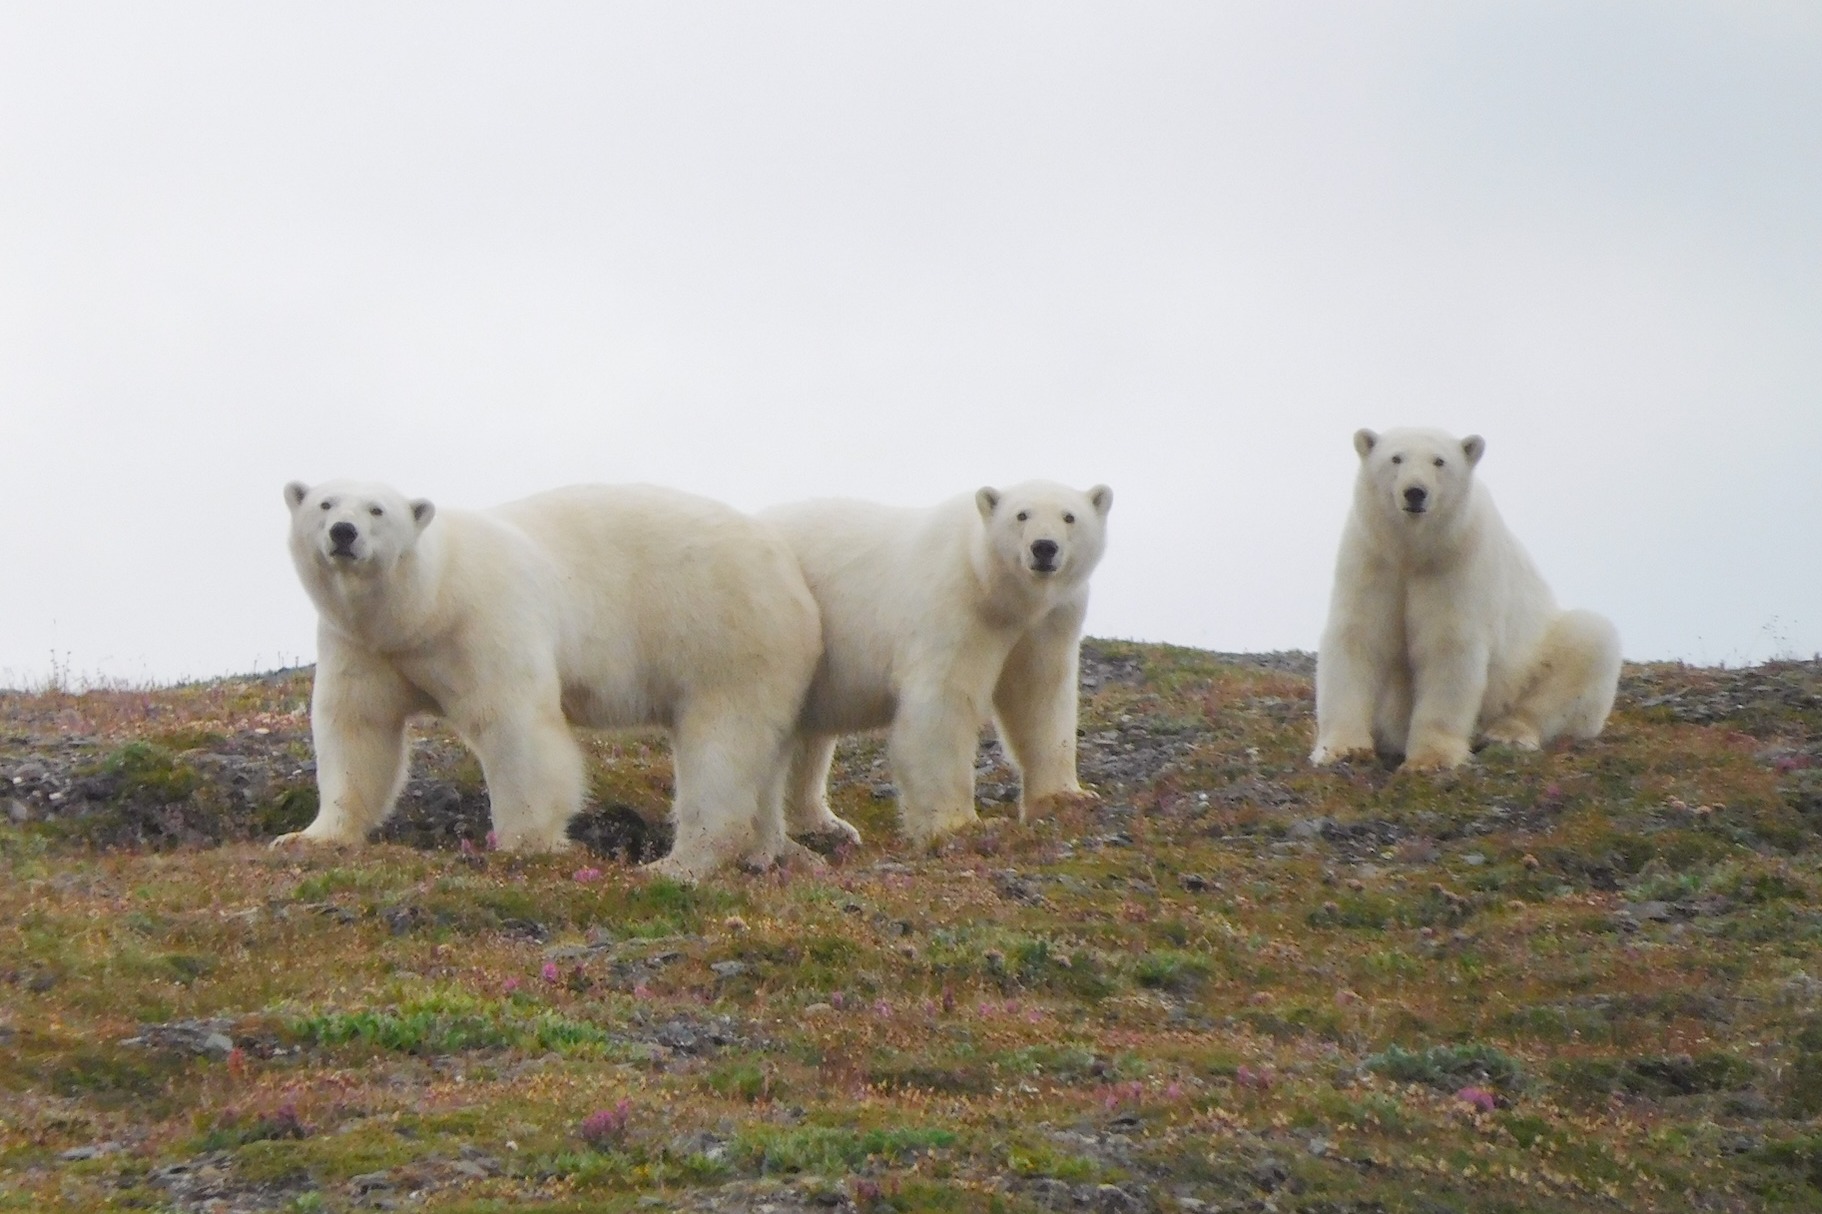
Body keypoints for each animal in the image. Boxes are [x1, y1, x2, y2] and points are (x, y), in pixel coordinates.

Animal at [278, 479, 824, 881]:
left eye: (377, 510)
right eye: (325, 502)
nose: (343, 532)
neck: (427, 605)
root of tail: (791, 570)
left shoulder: (486, 620)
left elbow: (514, 724)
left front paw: (525, 843)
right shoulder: (366, 647)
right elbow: (357, 726)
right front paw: (310, 836)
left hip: (728, 635)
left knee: (722, 744)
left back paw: (682, 860)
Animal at [761, 480, 1112, 845]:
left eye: (1069, 516)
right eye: (1021, 514)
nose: (1044, 547)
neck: (998, 591)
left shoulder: (1050, 621)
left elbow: (1039, 696)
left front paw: (1066, 797)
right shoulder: (957, 604)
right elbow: (945, 704)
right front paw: (958, 824)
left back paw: (825, 826)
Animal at [1310, 428, 1622, 772]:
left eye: (1439, 461)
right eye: (1396, 458)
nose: (1415, 492)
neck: (1412, 551)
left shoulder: (1456, 565)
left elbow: (1447, 646)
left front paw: (1431, 759)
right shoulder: (1371, 559)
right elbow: (1358, 638)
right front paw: (1341, 749)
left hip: (1531, 665)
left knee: (1588, 639)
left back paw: (1508, 733)